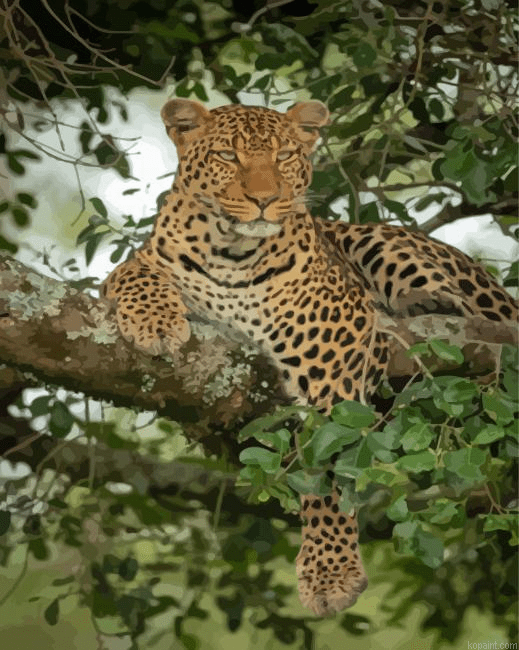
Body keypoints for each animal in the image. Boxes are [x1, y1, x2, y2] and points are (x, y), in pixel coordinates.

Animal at [101, 99, 518, 617]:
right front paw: (155, 323)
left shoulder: (337, 343)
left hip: (382, 244)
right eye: (227, 156)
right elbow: (136, 273)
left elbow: (328, 462)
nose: (264, 199)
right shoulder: (139, 266)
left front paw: (330, 573)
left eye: (283, 156)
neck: (231, 253)